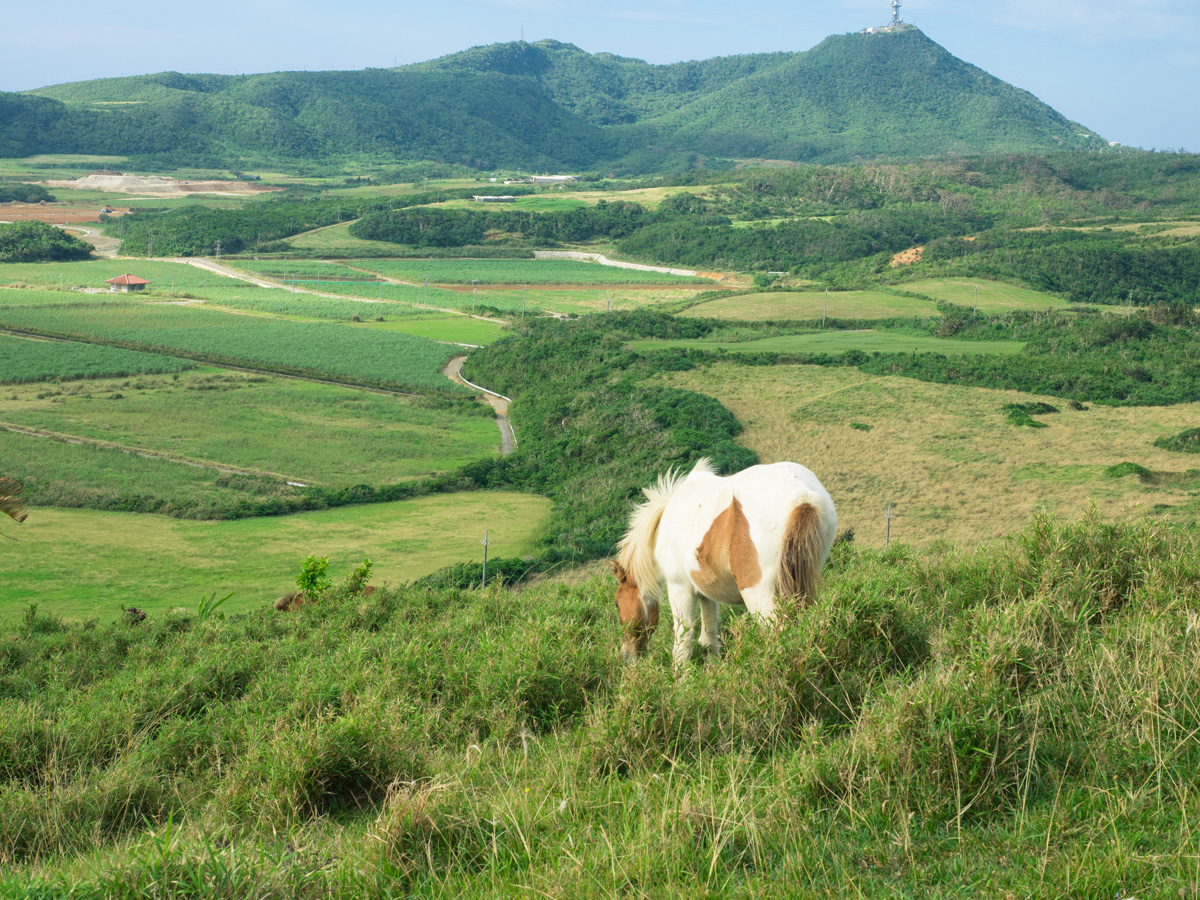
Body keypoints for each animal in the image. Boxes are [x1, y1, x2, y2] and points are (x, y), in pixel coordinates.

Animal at [609, 460, 835, 667]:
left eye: (617, 603)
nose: (626, 656)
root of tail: (802, 497)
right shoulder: (706, 593)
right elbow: (709, 637)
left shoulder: (679, 587)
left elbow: (683, 640)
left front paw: (680, 679)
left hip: (757, 593)